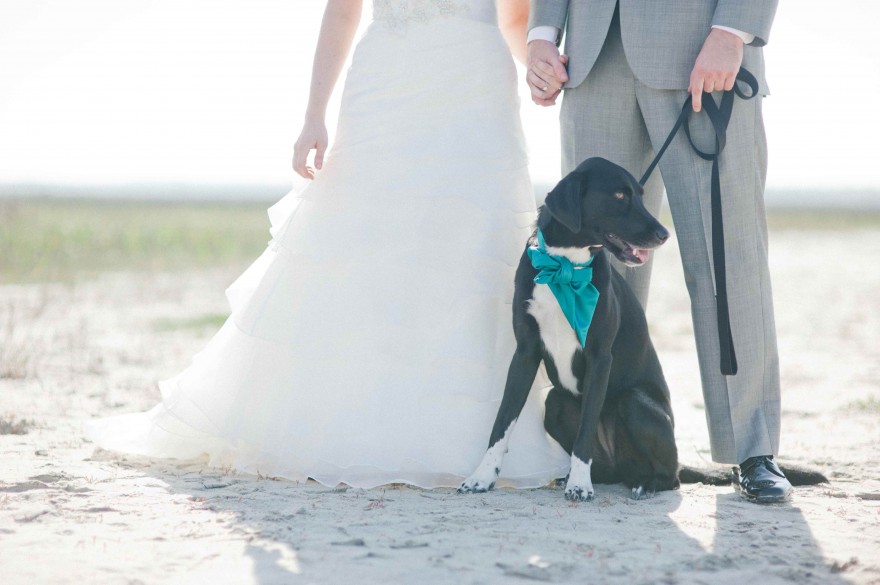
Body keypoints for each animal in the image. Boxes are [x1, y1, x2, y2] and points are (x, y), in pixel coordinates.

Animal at [458, 157, 676, 500]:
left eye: (641, 196)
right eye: (619, 196)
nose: (664, 233)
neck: (565, 267)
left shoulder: (600, 357)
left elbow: (585, 431)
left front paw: (580, 485)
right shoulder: (525, 352)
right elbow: (502, 419)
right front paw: (481, 476)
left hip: (637, 403)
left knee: (671, 475)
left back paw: (646, 483)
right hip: (554, 404)